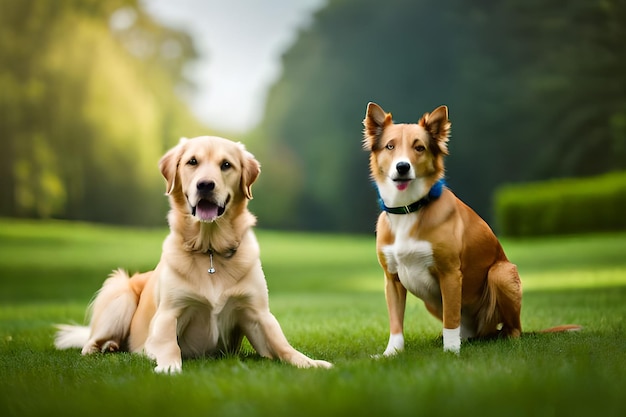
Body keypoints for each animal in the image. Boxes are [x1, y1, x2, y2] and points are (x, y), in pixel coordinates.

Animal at [54, 136, 332, 370]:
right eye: (192, 162)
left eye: (226, 165)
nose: (205, 185)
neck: (210, 250)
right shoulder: (168, 314)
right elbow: (170, 346)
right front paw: (169, 367)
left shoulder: (258, 314)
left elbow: (283, 345)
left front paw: (311, 363)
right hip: (120, 292)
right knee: (91, 342)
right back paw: (105, 347)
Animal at [364, 102, 576, 352]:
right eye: (390, 146)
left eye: (419, 148)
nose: (403, 167)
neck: (409, 209)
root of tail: (485, 331)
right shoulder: (392, 279)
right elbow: (396, 323)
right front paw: (392, 353)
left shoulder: (450, 274)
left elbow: (451, 319)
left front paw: (451, 351)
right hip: (431, 301)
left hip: (501, 274)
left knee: (512, 327)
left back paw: (503, 337)